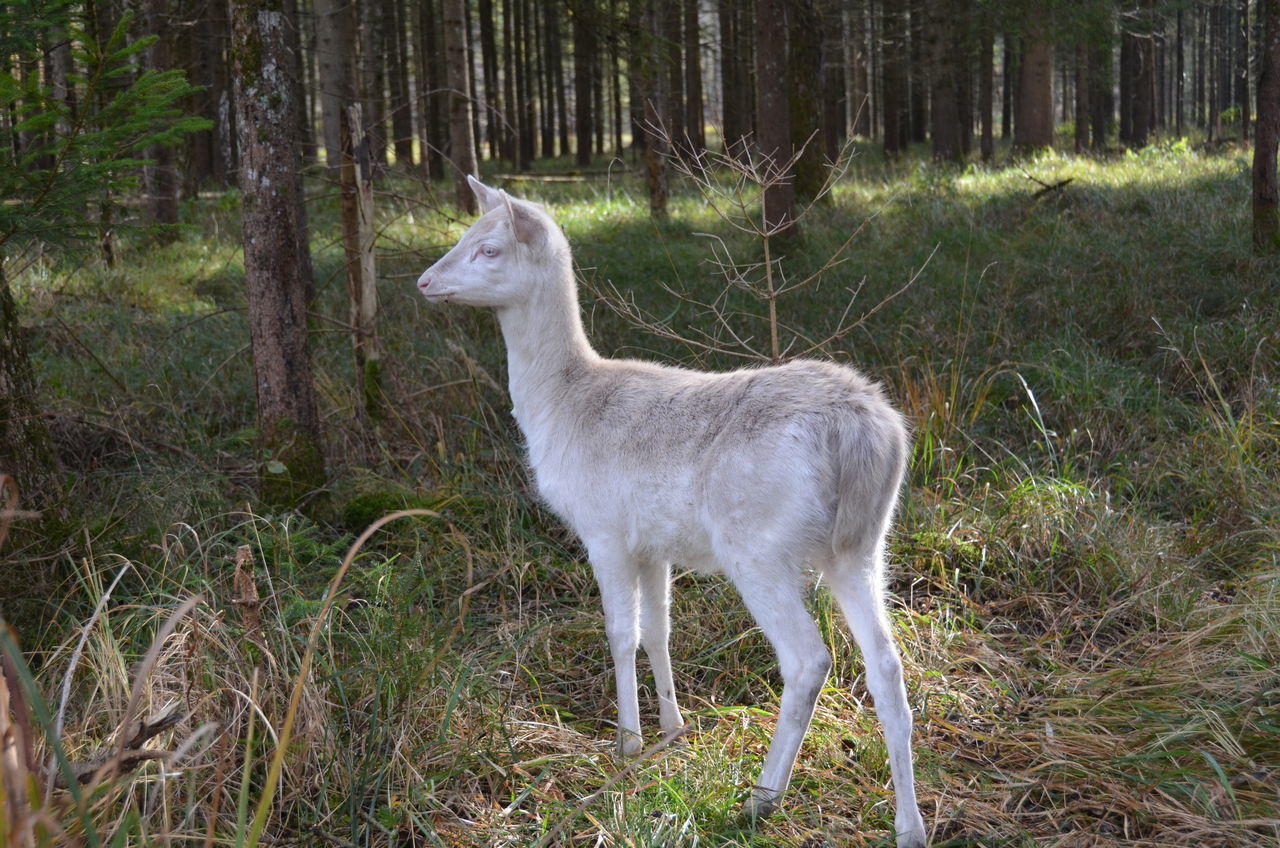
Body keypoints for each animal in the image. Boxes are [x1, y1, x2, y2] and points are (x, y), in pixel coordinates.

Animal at [419, 178, 931, 848]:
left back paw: (760, 799)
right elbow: (658, 631)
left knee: (808, 660)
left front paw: (627, 746)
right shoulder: (653, 543)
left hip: (758, 545)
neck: (559, 406)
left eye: (489, 248)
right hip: (864, 543)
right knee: (888, 666)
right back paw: (910, 825)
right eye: (463, 234)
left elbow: (619, 632)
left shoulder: (603, 528)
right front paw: (673, 731)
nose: (426, 281)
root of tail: (866, 434)